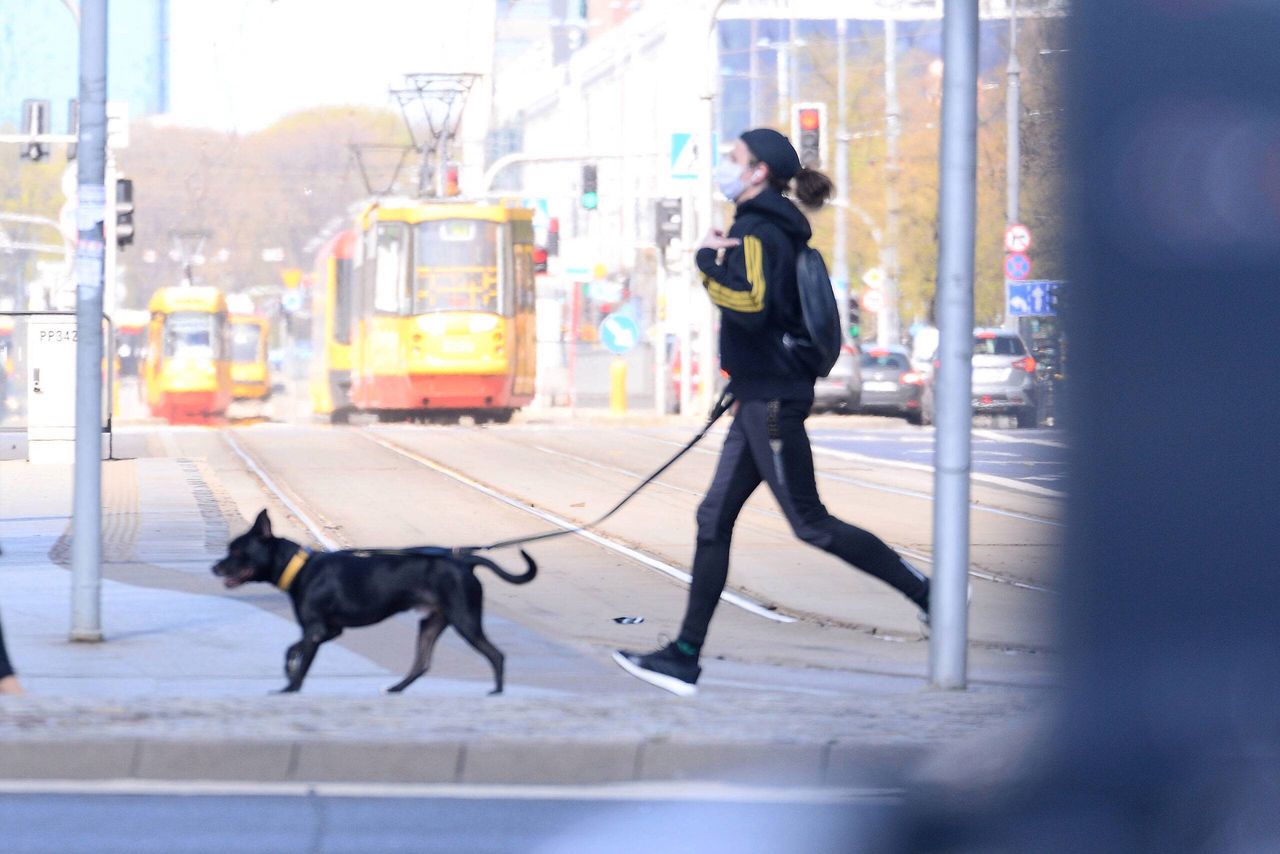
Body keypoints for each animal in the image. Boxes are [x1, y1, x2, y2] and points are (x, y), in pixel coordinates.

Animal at [212, 507, 532, 696]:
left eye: (237, 552)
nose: (215, 567)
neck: (300, 568)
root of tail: (465, 561)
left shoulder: (316, 631)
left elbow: (300, 659)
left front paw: (291, 687)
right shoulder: (328, 631)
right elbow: (292, 650)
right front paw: (290, 674)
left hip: (464, 619)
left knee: (496, 655)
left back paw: (497, 692)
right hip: (432, 623)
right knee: (422, 663)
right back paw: (396, 689)